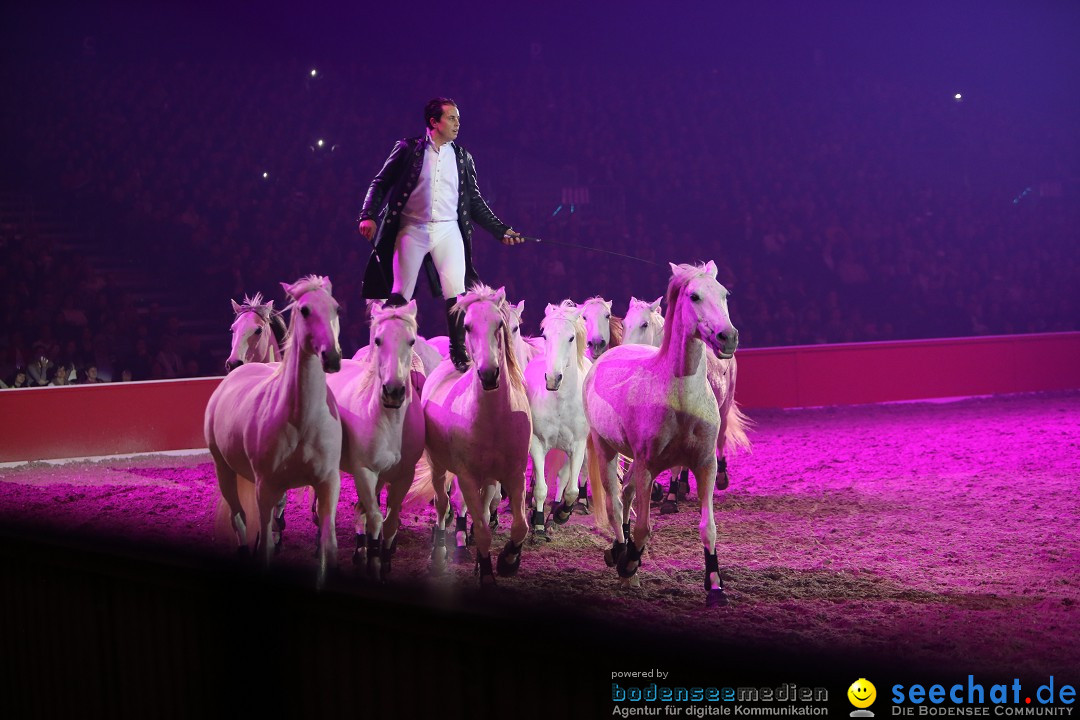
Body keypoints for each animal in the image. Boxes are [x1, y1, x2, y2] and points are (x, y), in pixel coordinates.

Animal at [328, 297, 425, 578]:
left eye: (411, 341)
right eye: (378, 340)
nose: (393, 392)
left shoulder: (403, 476)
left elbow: (390, 521)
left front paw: (385, 560)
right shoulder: (365, 472)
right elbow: (374, 517)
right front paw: (374, 564)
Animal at [425, 282, 535, 587]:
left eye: (500, 324)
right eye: (468, 326)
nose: (488, 374)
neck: (493, 419)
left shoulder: (515, 474)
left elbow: (520, 525)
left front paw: (508, 560)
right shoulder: (467, 478)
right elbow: (483, 530)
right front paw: (486, 574)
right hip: (437, 466)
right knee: (442, 505)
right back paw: (438, 555)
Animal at [520, 300, 591, 535]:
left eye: (571, 338)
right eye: (545, 335)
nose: (552, 379)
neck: (560, 402)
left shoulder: (578, 446)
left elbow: (572, 490)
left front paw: (561, 514)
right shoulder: (536, 443)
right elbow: (541, 488)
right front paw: (539, 525)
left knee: (563, 478)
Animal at [587, 262, 738, 604]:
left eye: (725, 294)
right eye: (694, 296)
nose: (728, 337)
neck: (679, 398)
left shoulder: (704, 463)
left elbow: (708, 526)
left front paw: (715, 586)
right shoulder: (646, 466)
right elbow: (643, 527)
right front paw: (628, 562)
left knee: (626, 495)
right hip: (605, 449)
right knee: (616, 503)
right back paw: (620, 555)